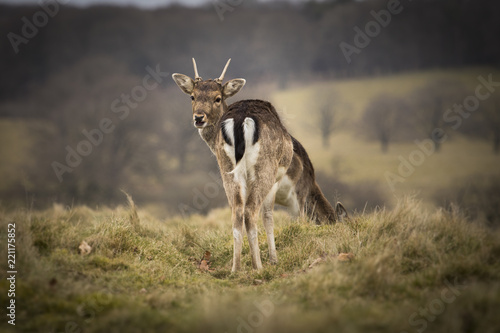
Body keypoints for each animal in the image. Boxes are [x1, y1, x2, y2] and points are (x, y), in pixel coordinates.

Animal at [172, 58, 348, 272]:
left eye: (217, 98)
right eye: (193, 96)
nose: (199, 117)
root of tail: (241, 119)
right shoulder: (294, 189)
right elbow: (271, 217)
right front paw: (274, 259)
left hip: (228, 170)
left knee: (237, 211)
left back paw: (236, 268)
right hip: (265, 169)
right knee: (250, 211)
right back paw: (258, 266)